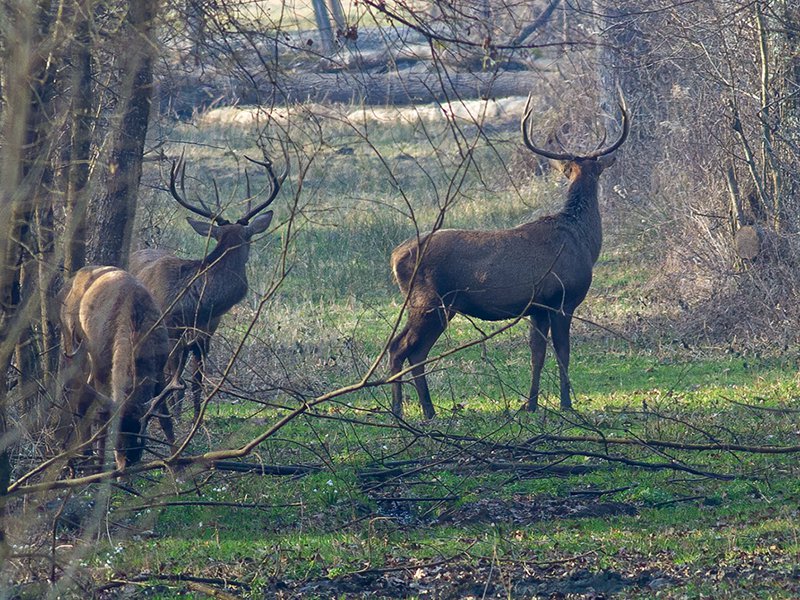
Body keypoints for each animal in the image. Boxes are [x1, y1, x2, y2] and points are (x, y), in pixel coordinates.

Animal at [57, 266, 173, 468]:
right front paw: (101, 464)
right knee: (79, 398)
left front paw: (178, 461)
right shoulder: (101, 369)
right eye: (117, 429)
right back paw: (86, 456)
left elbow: (166, 417)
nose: (129, 459)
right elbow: (101, 417)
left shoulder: (160, 367)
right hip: (72, 344)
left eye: (140, 427)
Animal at [133, 152, 290, 420]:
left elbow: (197, 380)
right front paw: (176, 416)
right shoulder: (170, 329)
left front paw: (197, 416)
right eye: (248, 238)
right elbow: (174, 378)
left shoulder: (208, 331)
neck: (197, 302)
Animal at [390, 96, 632, 420]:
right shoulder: (563, 300)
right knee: (402, 348)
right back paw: (401, 410)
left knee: (412, 350)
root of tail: (395, 258)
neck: (582, 240)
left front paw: (530, 404)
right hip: (428, 301)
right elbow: (563, 353)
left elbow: (537, 355)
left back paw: (425, 411)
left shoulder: (538, 307)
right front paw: (567, 404)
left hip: (437, 306)